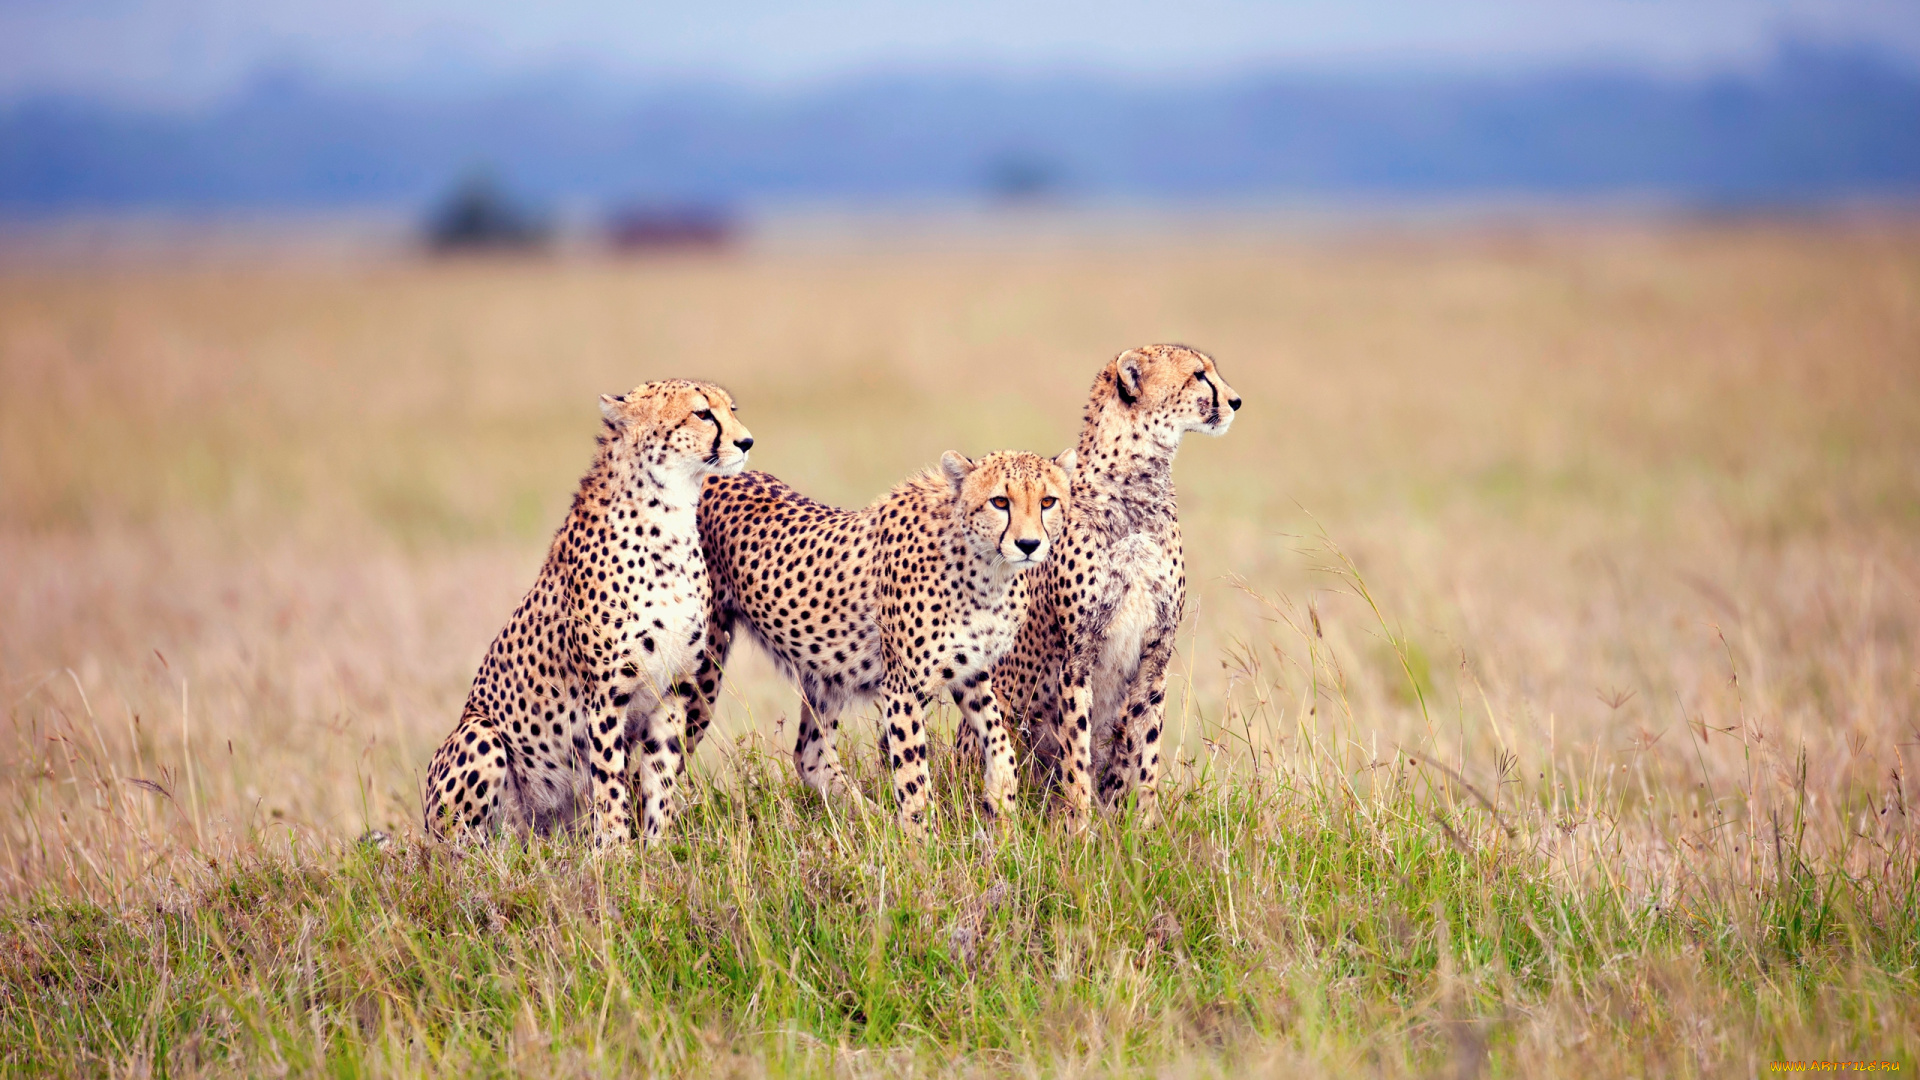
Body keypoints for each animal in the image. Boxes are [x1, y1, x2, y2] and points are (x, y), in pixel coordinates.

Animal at [424, 382, 752, 845]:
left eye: (732, 409)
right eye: (702, 414)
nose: (746, 442)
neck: (670, 520)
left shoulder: (673, 691)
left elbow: (660, 778)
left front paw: (658, 848)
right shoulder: (606, 696)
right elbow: (611, 781)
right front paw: (616, 852)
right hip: (479, 735)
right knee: (460, 847)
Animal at [691, 445, 1082, 834]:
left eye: (1048, 501)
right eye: (1000, 501)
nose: (1029, 544)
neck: (986, 569)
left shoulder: (969, 670)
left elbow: (999, 738)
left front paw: (1001, 800)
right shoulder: (903, 686)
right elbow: (913, 775)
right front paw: (921, 842)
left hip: (825, 674)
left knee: (810, 756)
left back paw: (873, 821)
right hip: (704, 665)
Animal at [975, 343, 1244, 822]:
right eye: (1199, 375)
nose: (1236, 401)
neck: (1138, 484)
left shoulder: (1157, 652)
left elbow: (1146, 748)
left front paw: (1144, 827)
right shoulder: (1077, 655)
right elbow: (1076, 753)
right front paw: (1080, 827)